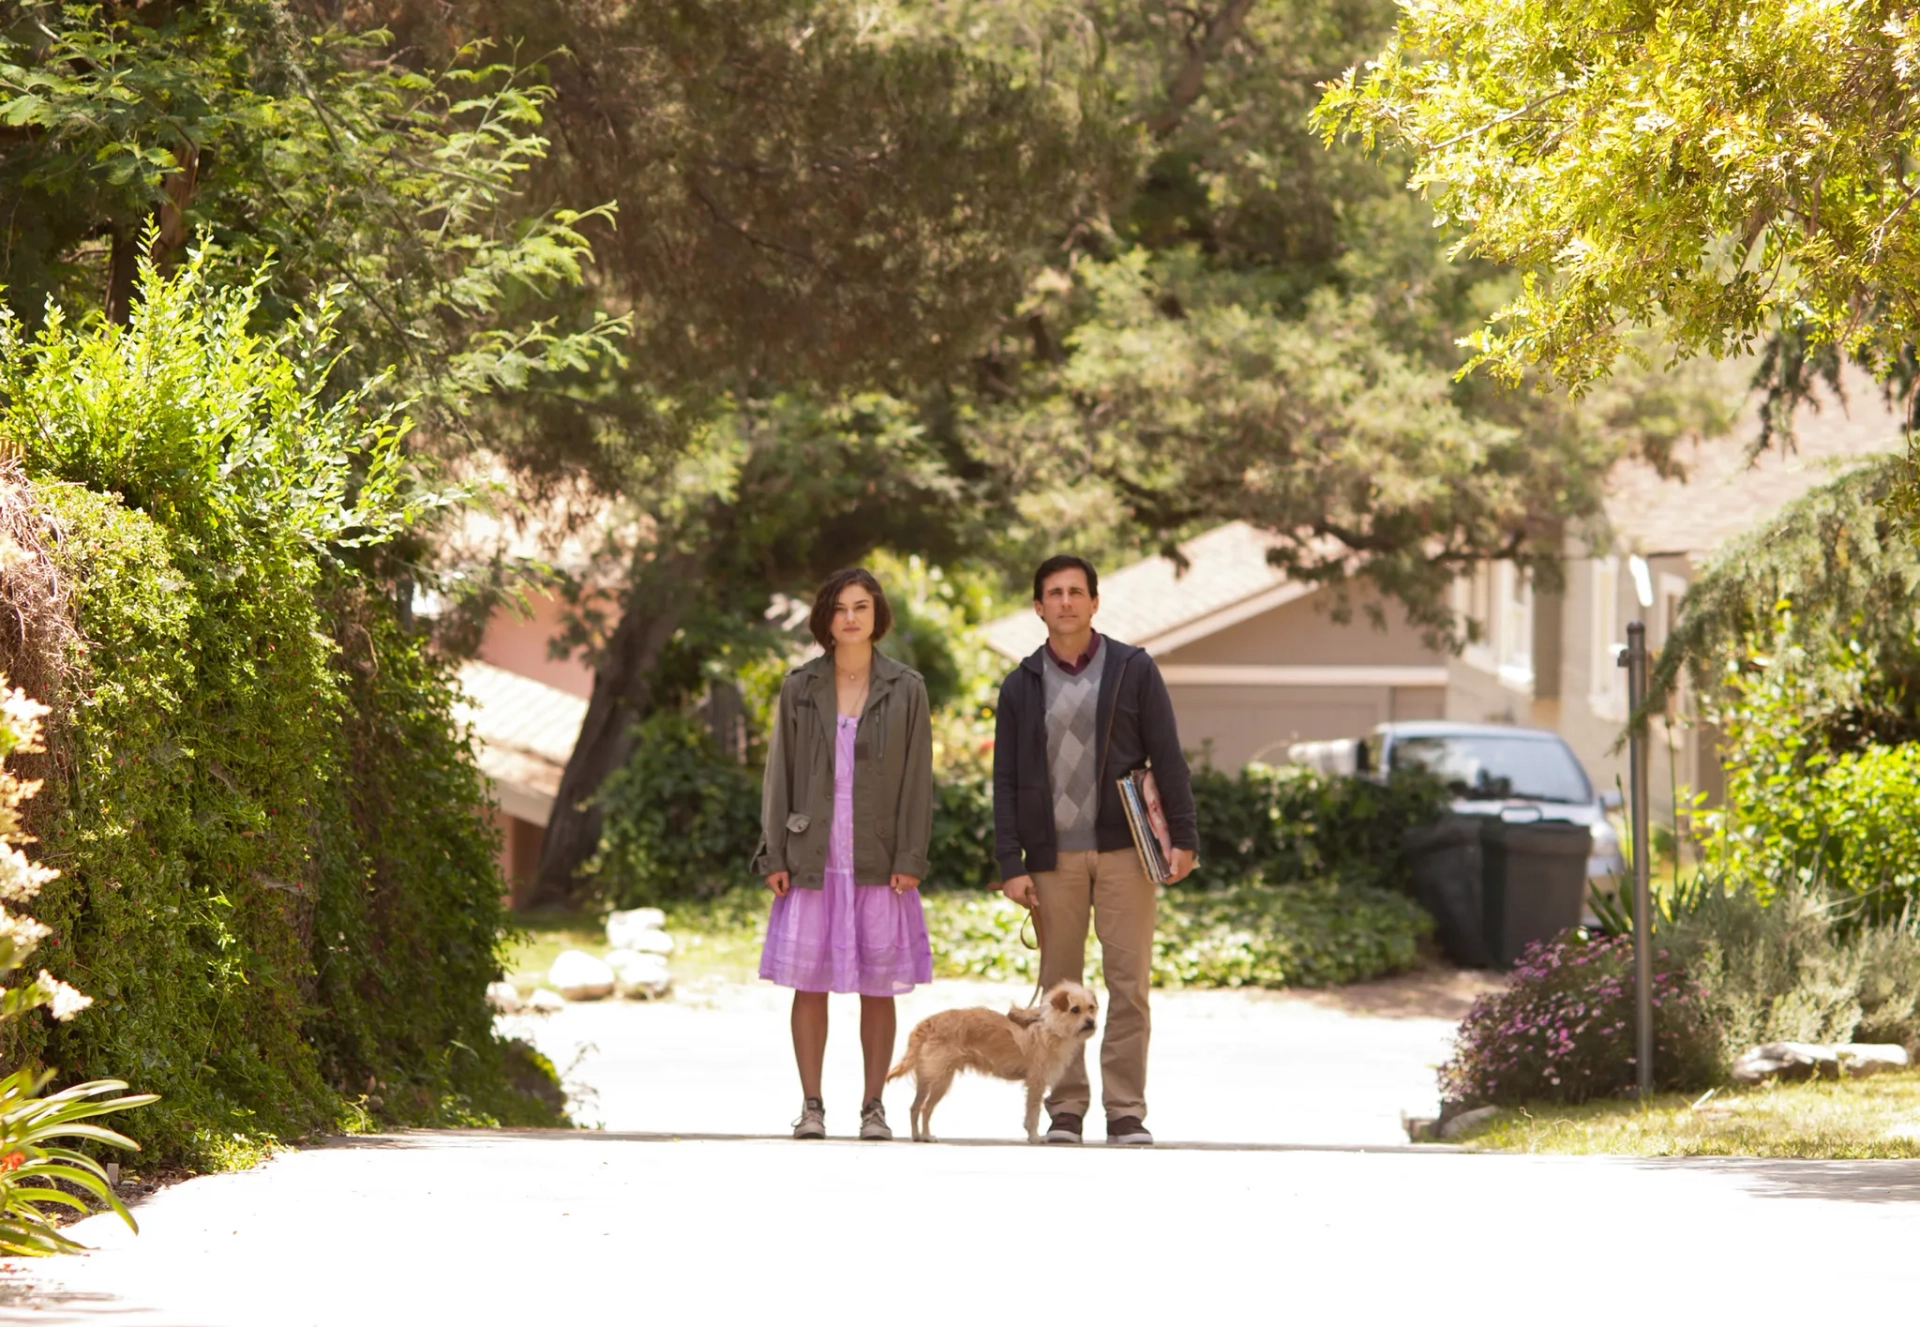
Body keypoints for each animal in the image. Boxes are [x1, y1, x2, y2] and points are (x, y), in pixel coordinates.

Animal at [883, 979, 1098, 1144]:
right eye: (1075, 1010)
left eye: (1091, 1008)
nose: (1091, 1022)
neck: (1051, 1026)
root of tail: (928, 1023)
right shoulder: (1036, 1084)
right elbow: (1034, 1113)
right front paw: (1035, 1137)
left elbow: (1030, 1114)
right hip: (941, 1081)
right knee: (925, 1109)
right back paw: (927, 1136)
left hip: (925, 1080)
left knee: (914, 1108)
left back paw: (917, 1136)